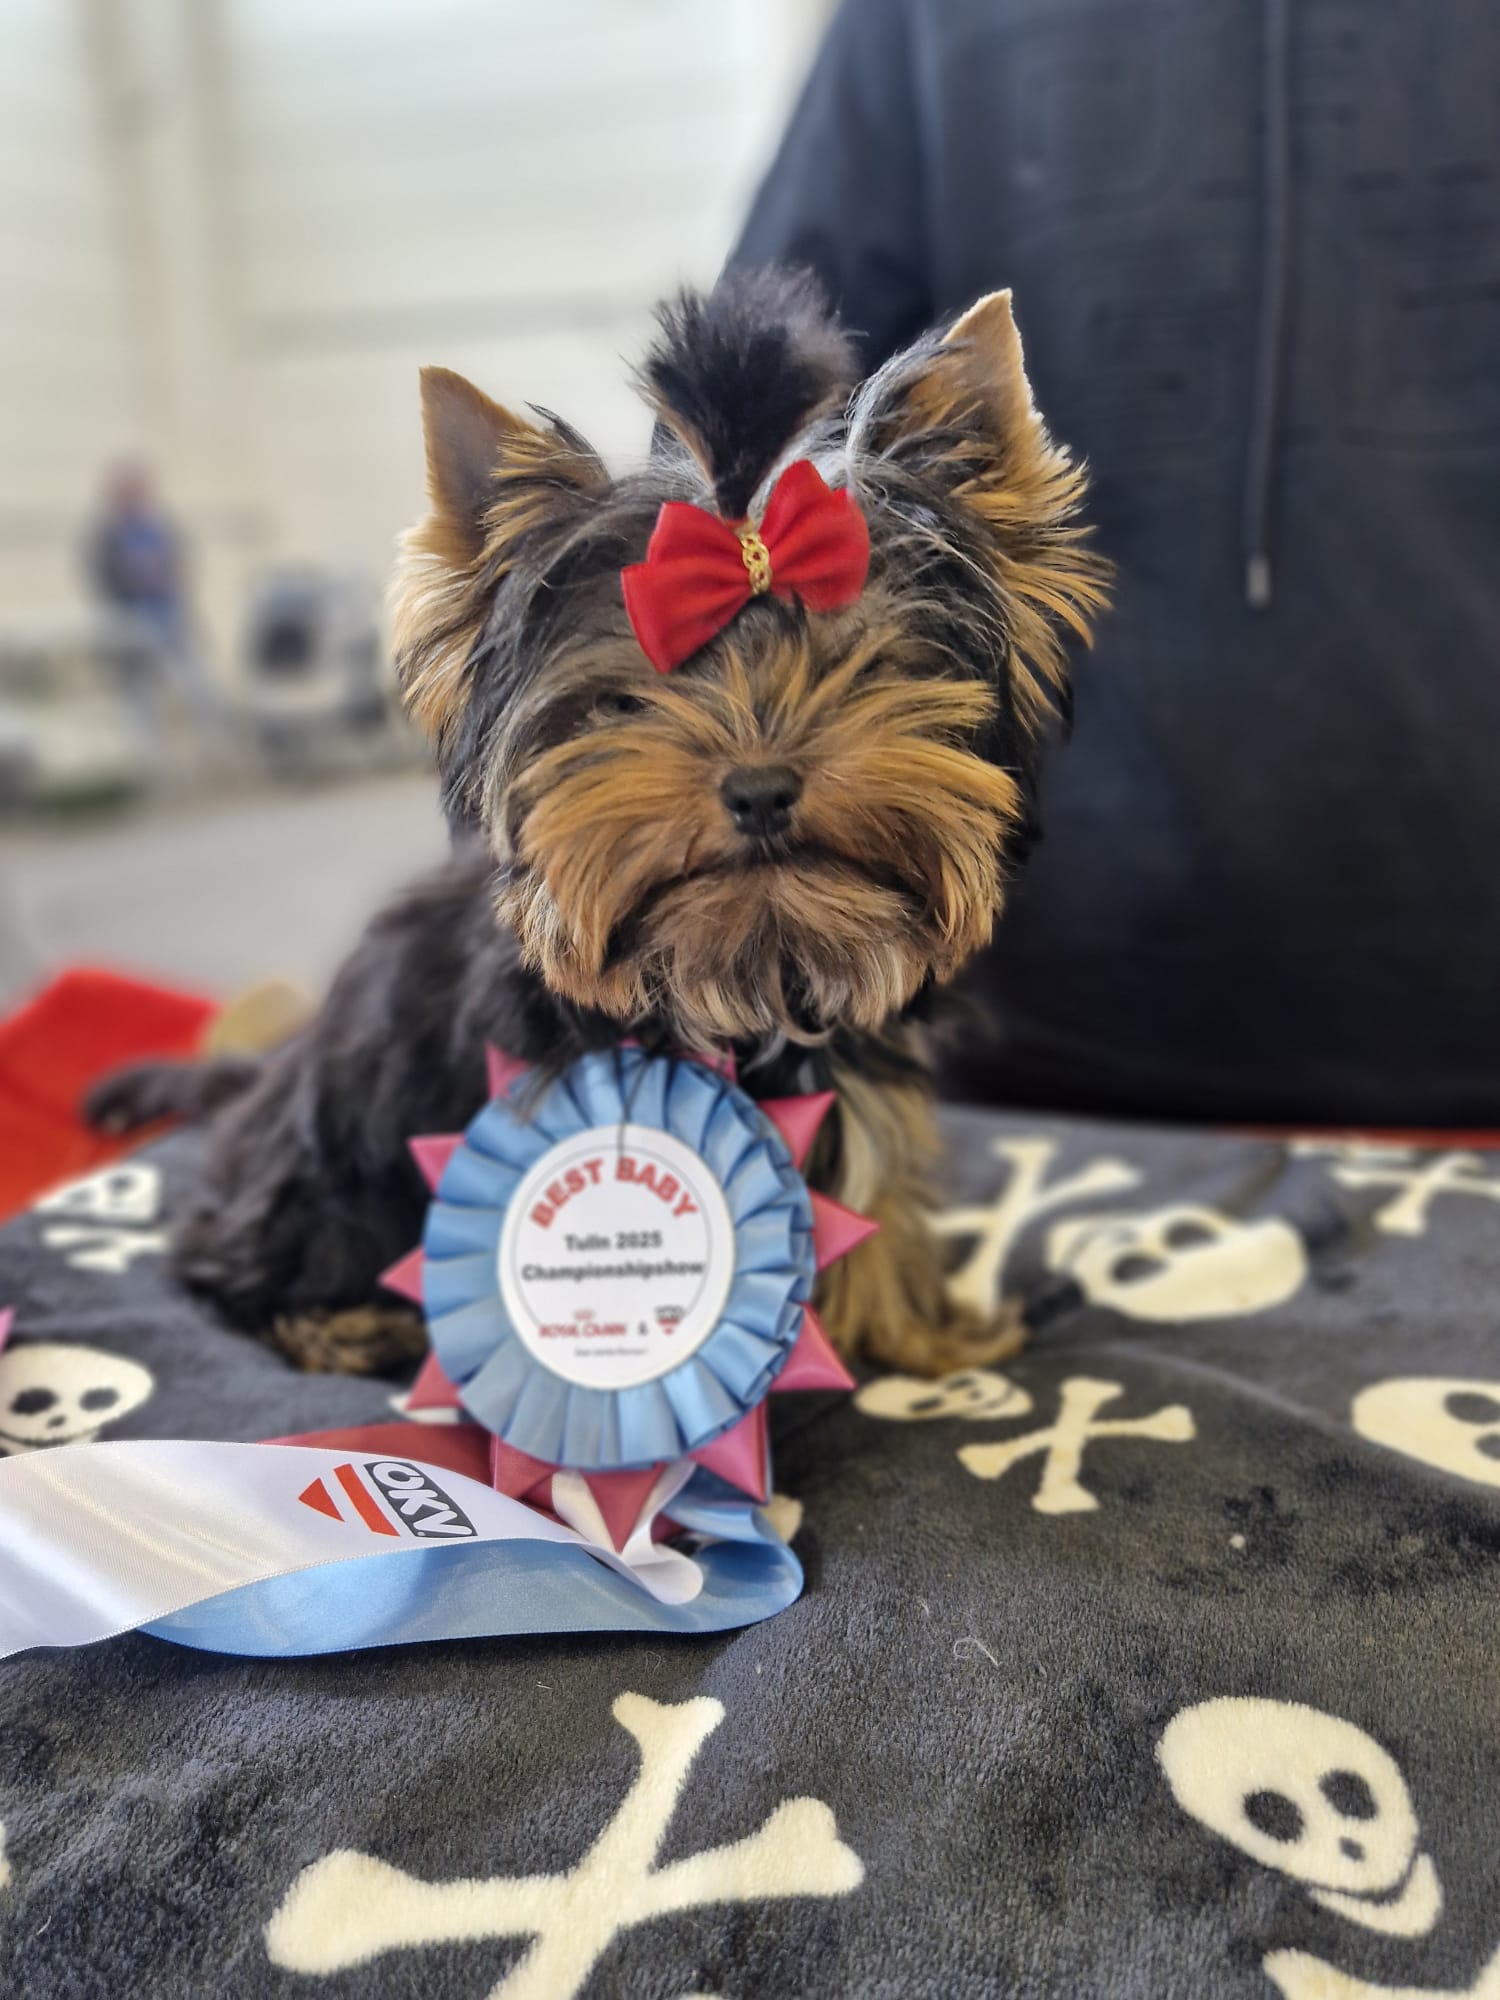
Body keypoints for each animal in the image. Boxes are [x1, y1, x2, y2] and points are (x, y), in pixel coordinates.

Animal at [89, 270, 1108, 1378]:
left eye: (859, 669)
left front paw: (920, 1336)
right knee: (235, 1247)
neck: (745, 976)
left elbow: (865, 1188)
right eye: (626, 702)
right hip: (328, 1137)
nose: (760, 787)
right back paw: (338, 1319)